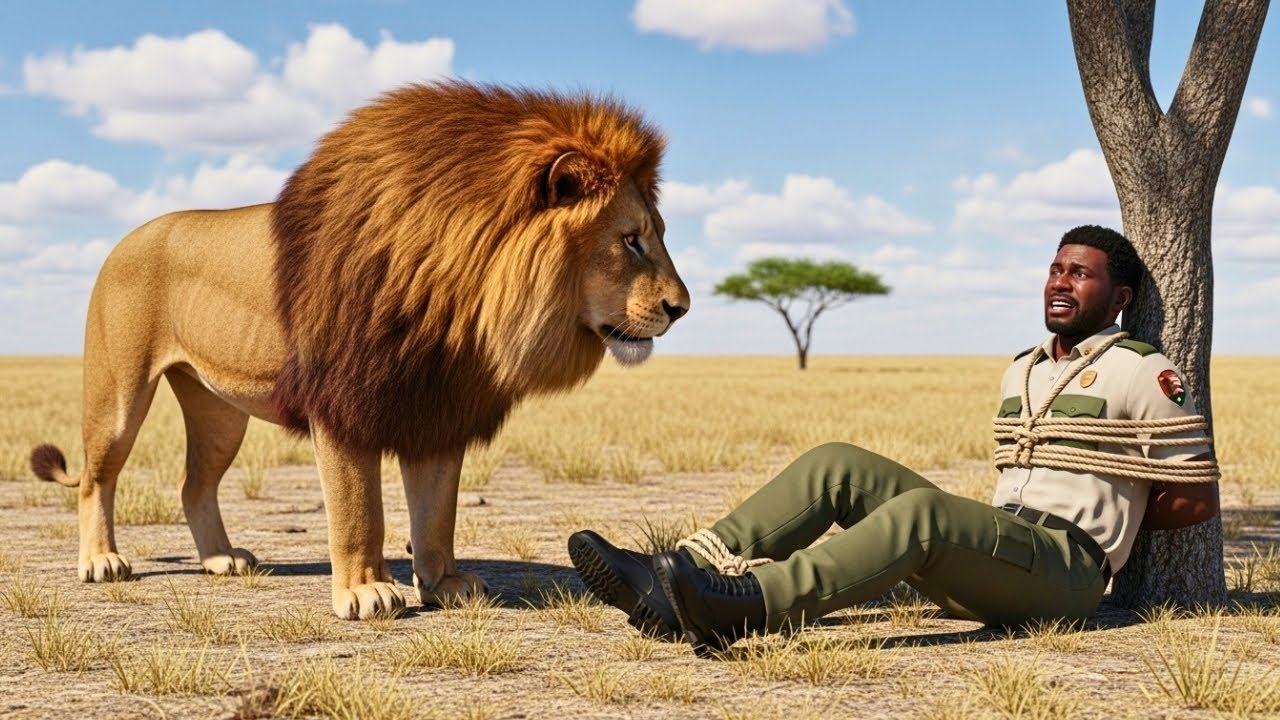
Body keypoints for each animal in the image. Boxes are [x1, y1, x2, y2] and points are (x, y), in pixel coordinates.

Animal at [29, 81, 689, 620]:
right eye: (630, 241)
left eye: (657, 235)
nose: (682, 308)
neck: (459, 302)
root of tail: (125, 238)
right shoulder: (345, 405)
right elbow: (358, 509)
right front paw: (368, 590)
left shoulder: (436, 402)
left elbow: (437, 510)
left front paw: (443, 583)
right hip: (119, 395)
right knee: (96, 479)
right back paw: (101, 562)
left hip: (219, 411)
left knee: (195, 485)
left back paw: (222, 560)